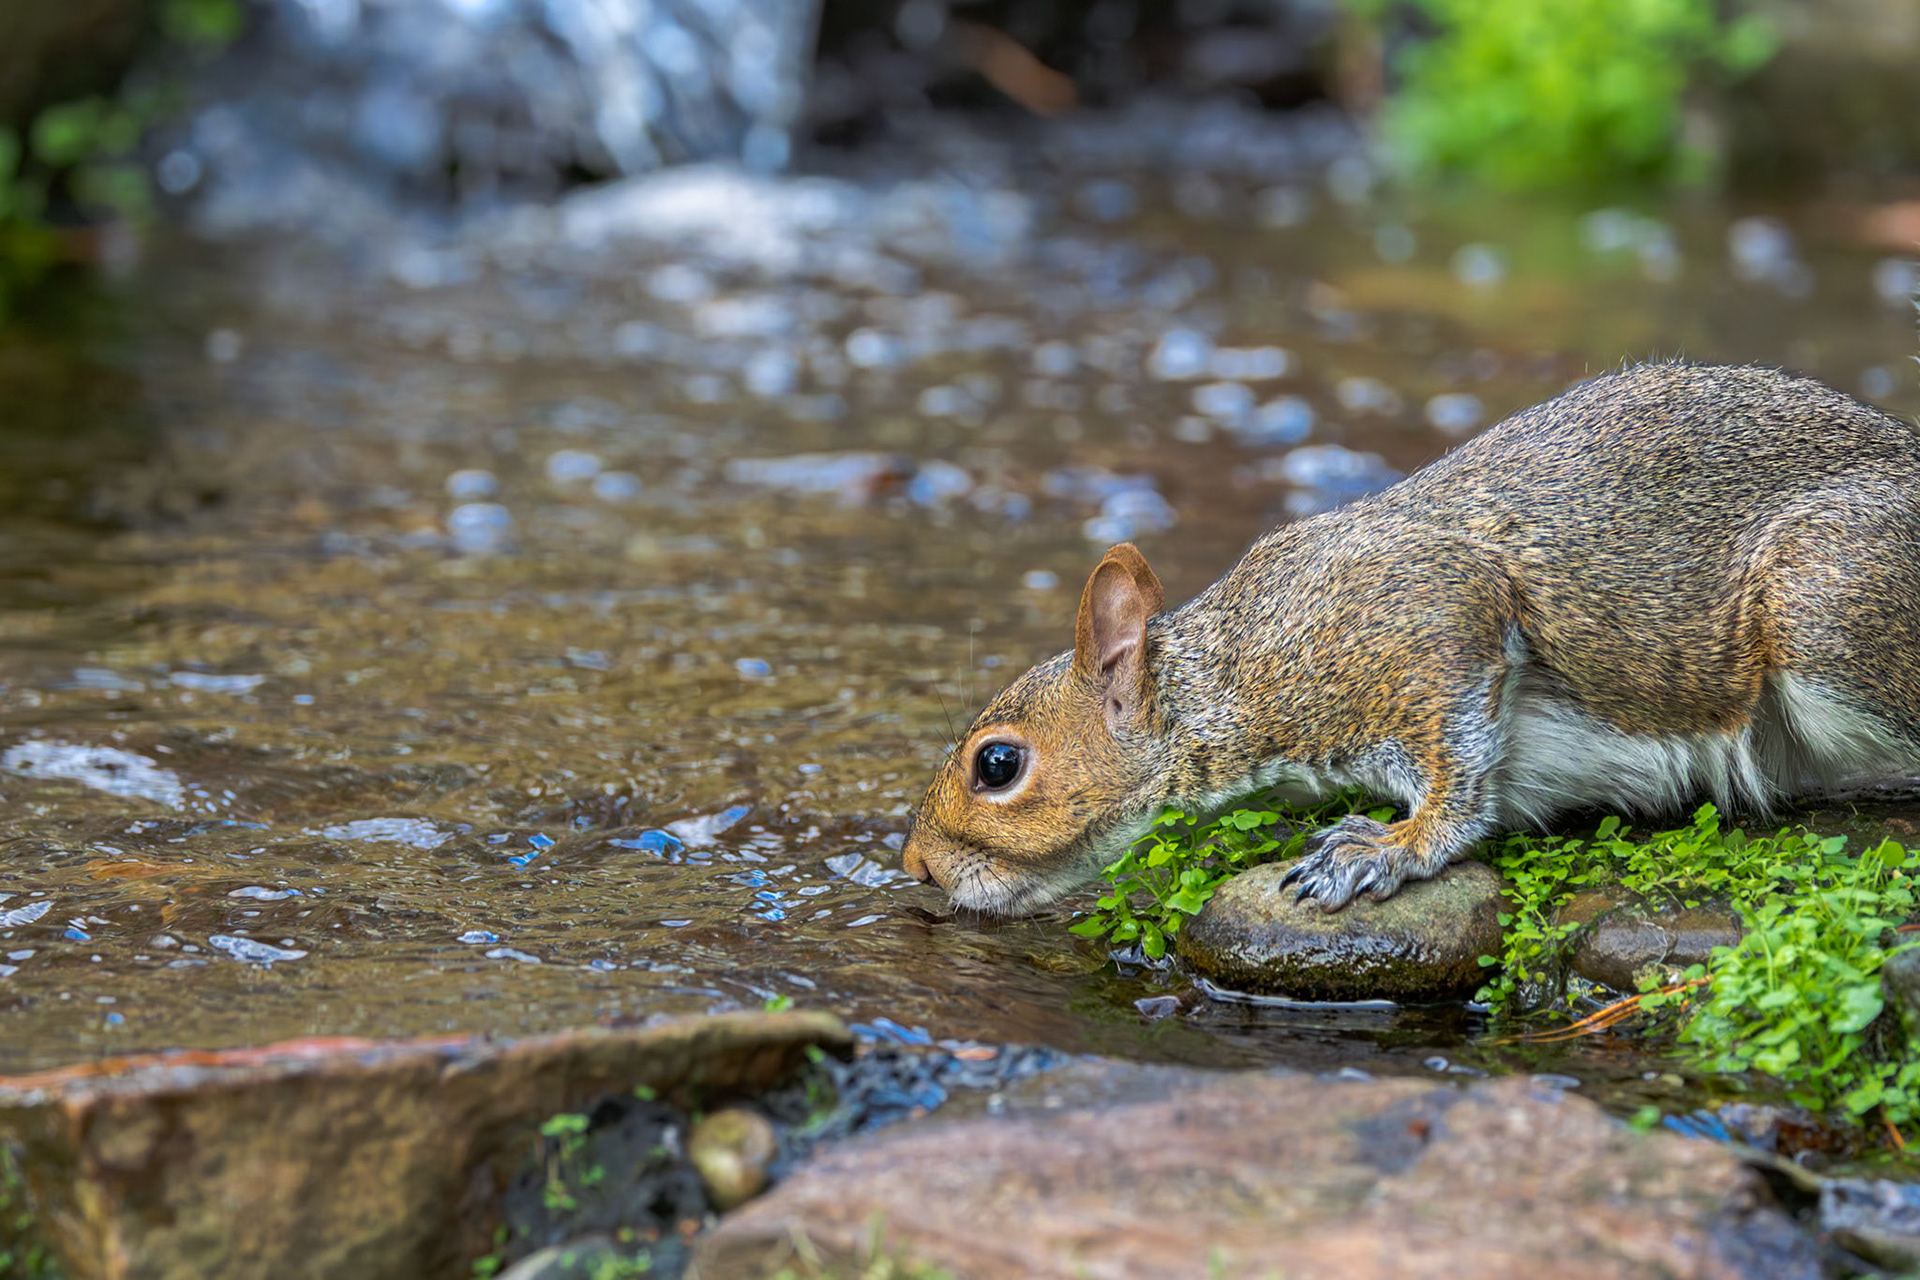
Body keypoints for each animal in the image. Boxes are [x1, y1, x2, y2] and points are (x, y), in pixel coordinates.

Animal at [901, 362, 1920, 915]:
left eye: (998, 765)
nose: (915, 865)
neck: (1234, 674)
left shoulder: (1421, 615)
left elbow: (1459, 773)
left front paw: (1389, 848)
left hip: (1825, 603)